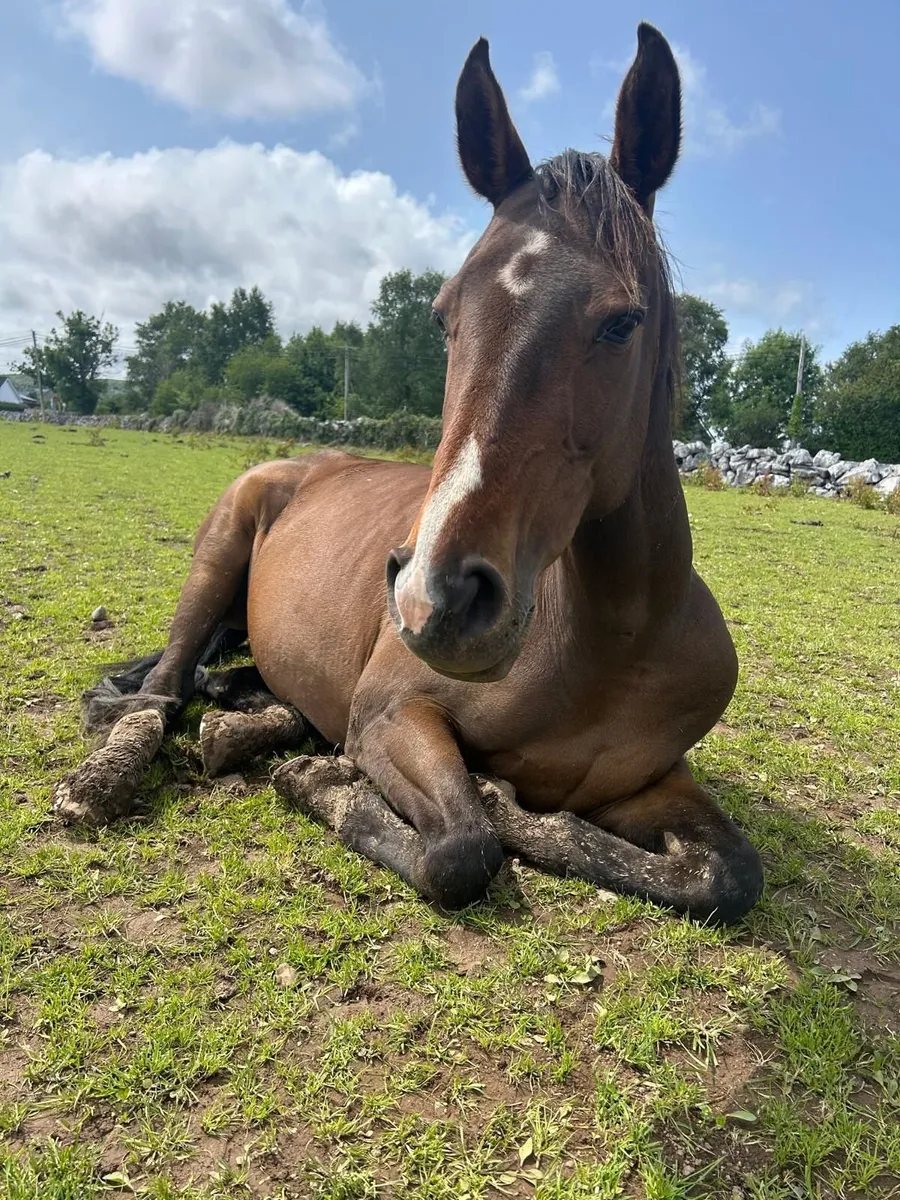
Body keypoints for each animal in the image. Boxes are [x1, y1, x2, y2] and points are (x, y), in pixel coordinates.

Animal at [74, 24, 763, 924]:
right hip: (216, 557)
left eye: (622, 322)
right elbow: (463, 848)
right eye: (444, 316)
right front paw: (330, 782)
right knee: (159, 692)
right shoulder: (392, 715)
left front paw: (516, 806)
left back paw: (245, 715)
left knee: (211, 680)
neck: (612, 639)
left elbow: (725, 874)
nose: (437, 599)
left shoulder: (652, 781)